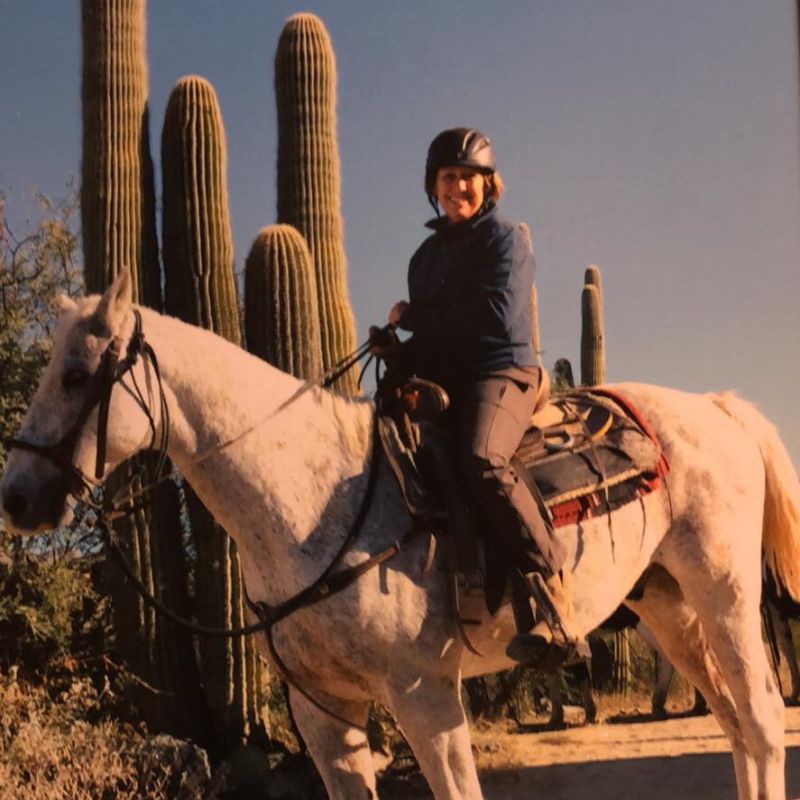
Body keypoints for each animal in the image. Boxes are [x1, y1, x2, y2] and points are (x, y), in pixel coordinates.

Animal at [1, 270, 800, 800]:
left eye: (76, 375)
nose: (17, 496)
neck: (308, 499)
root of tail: (718, 408)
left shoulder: (425, 694)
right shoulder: (324, 715)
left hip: (726, 596)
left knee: (761, 720)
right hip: (669, 607)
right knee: (734, 724)